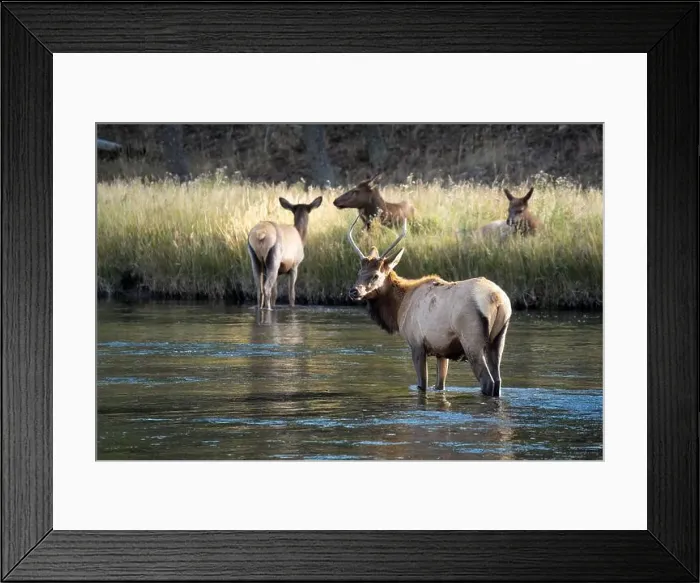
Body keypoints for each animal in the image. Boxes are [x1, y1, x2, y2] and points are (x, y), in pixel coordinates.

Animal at [346, 216, 512, 397]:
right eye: (358, 273)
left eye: (375, 275)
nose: (354, 291)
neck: (399, 308)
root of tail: (497, 299)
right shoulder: (442, 351)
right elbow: (440, 384)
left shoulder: (416, 344)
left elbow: (422, 385)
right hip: (499, 339)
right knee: (498, 380)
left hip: (471, 340)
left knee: (487, 381)